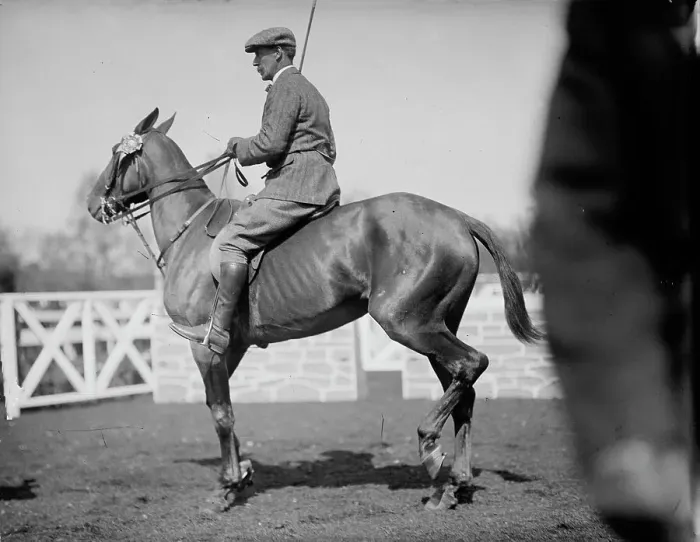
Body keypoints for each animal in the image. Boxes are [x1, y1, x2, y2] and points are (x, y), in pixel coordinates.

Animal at [86, 107, 545, 511]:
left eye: (115, 154)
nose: (93, 204)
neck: (194, 235)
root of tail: (457, 217)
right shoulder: (229, 347)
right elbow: (224, 407)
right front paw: (241, 473)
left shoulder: (204, 345)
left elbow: (220, 413)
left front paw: (227, 487)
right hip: (438, 326)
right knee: (464, 390)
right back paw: (453, 488)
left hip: (407, 323)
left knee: (471, 364)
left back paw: (429, 446)